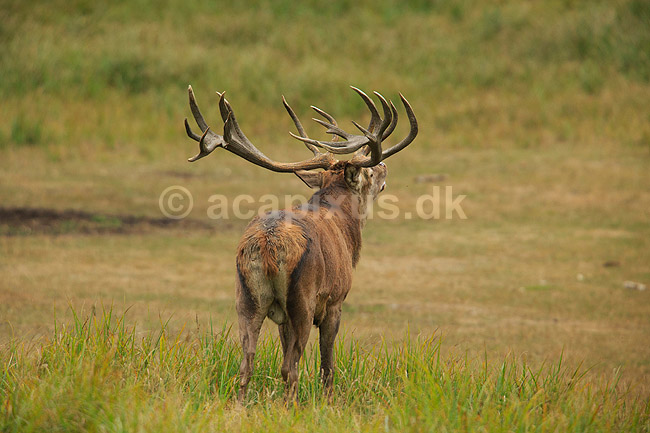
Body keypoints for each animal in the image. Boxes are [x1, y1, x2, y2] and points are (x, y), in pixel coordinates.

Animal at [184, 85, 417, 402]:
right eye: (370, 173)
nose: (383, 167)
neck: (347, 230)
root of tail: (267, 244)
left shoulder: (280, 317)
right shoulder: (335, 300)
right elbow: (327, 363)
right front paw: (330, 402)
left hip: (245, 298)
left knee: (247, 363)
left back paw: (241, 405)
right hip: (302, 300)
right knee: (290, 368)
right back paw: (290, 406)